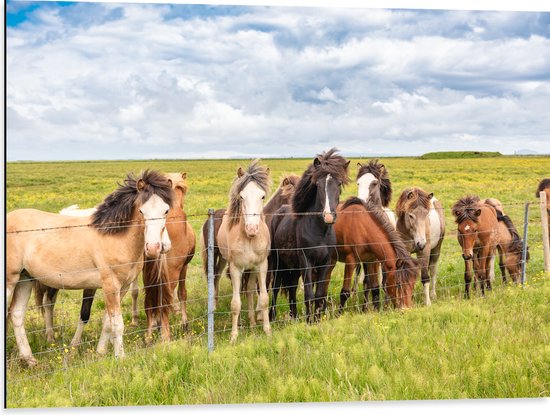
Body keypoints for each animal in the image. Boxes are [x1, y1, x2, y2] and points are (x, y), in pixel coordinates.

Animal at [270, 148, 352, 324]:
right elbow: (308, 294)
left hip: (293, 267)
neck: (320, 231)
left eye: (339, 184)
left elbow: (319, 295)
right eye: (318, 185)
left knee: (292, 288)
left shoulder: (325, 262)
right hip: (278, 263)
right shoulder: (306, 261)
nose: (328, 216)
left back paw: (294, 317)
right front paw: (309, 322)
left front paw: (318, 319)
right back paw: (271, 318)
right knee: (274, 288)